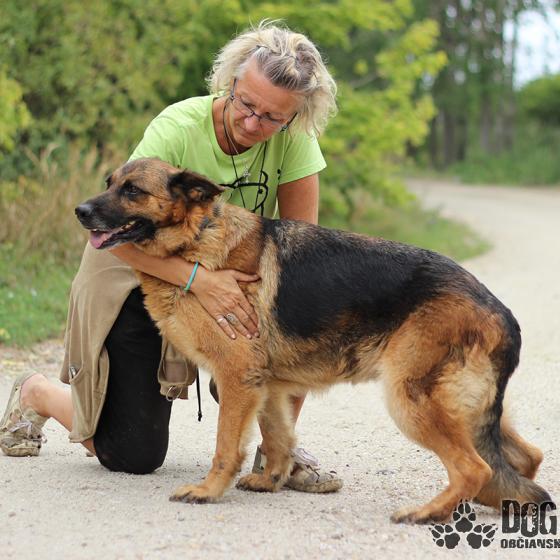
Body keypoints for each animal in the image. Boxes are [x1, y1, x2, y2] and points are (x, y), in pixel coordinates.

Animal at [75, 157, 550, 523]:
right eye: (109, 183)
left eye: (133, 190)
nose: (80, 210)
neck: (197, 236)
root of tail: (500, 310)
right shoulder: (265, 387)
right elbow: (278, 438)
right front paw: (271, 480)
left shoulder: (236, 378)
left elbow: (226, 445)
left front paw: (209, 490)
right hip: (467, 408)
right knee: (523, 458)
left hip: (411, 399)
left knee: (474, 468)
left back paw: (427, 513)